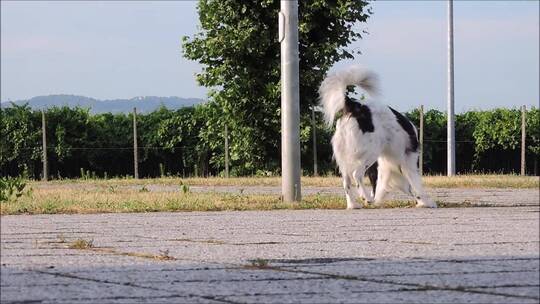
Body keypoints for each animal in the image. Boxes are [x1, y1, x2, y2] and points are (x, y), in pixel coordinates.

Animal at [318, 65, 436, 209]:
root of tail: (355, 106)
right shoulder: (407, 163)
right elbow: (415, 184)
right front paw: (426, 202)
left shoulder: (387, 167)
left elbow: (389, 186)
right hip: (371, 152)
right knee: (356, 174)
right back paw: (366, 197)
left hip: (345, 157)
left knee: (346, 181)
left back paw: (353, 205)